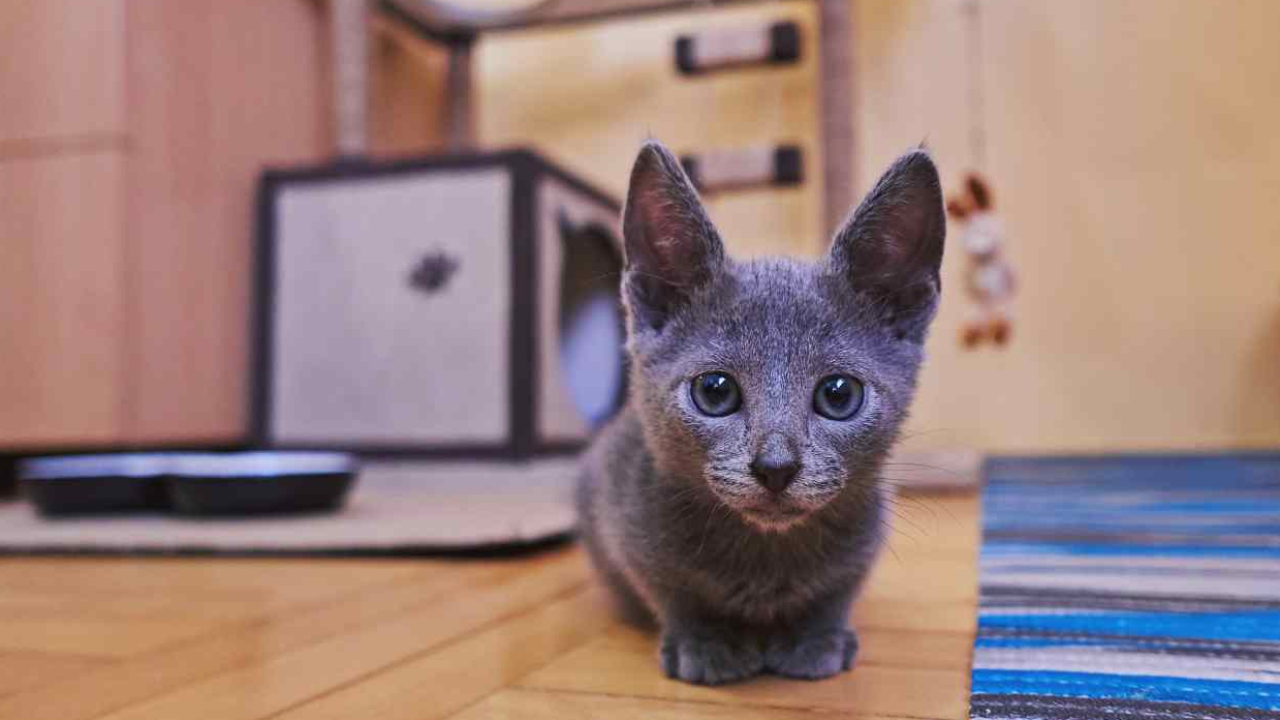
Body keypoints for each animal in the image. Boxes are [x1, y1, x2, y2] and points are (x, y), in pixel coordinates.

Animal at [576, 137, 947, 681]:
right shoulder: (624, 518)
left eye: (839, 394)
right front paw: (704, 642)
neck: (765, 554)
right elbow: (670, 590)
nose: (776, 466)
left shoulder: (864, 543)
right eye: (714, 391)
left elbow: (837, 591)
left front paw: (816, 638)